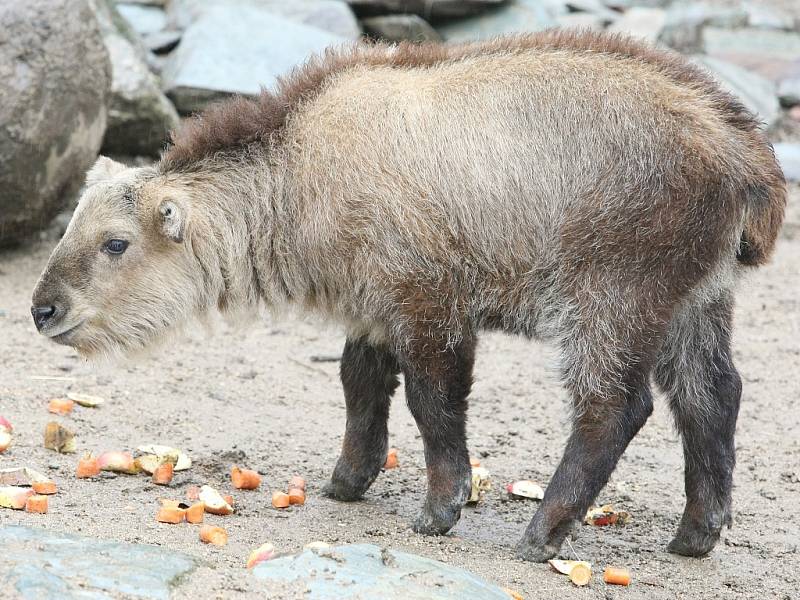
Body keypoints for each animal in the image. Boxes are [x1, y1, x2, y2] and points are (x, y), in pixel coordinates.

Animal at [32, 30, 788, 560]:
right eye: (70, 224)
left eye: (116, 243)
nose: (42, 310)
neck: (301, 170)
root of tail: (747, 153)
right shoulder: (373, 308)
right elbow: (360, 383)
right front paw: (348, 480)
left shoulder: (429, 303)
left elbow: (433, 403)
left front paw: (439, 509)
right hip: (695, 301)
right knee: (713, 397)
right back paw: (696, 534)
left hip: (613, 297)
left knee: (615, 409)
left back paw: (542, 532)